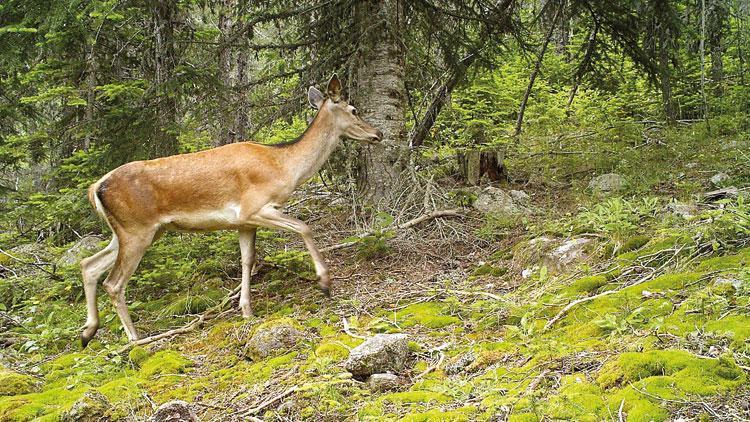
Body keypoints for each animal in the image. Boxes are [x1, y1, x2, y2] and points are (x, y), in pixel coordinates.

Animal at [79, 75, 382, 346]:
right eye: (354, 109)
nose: (377, 133)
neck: (285, 166)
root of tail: (96, 187)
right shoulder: (254, 208)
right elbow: (303, 227)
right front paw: (325, 281)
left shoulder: (243, 222)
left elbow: (247, 259)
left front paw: (246, 309)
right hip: (137, 229)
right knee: (113, 282)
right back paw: (134, 338)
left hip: (134, 231)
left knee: (89, 265)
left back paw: (87, 332)